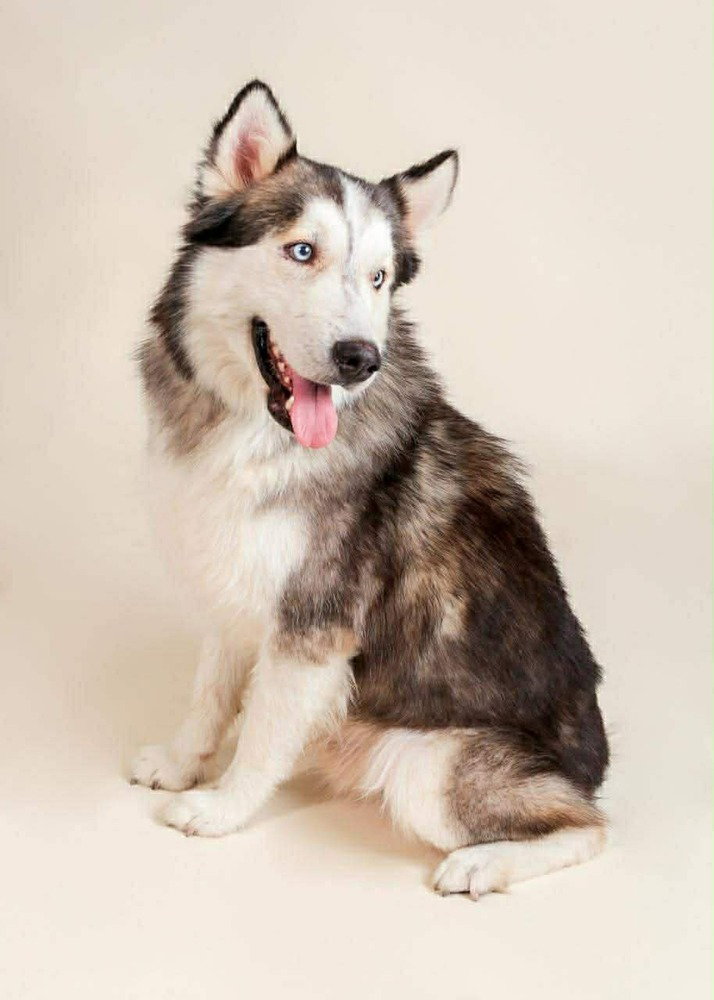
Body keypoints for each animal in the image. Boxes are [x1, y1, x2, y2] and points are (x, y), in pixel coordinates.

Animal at [130, 80, 609, 899]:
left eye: (379, 277)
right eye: (301, 251)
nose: (361, 357)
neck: (252, 431)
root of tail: (595, 768)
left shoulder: (312, 626)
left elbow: (261, 733)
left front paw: (222, 808)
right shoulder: (236, 577)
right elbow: (211, 693)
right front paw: (182, 762)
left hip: (426, 763)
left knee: (590, 829)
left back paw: (484, 862)